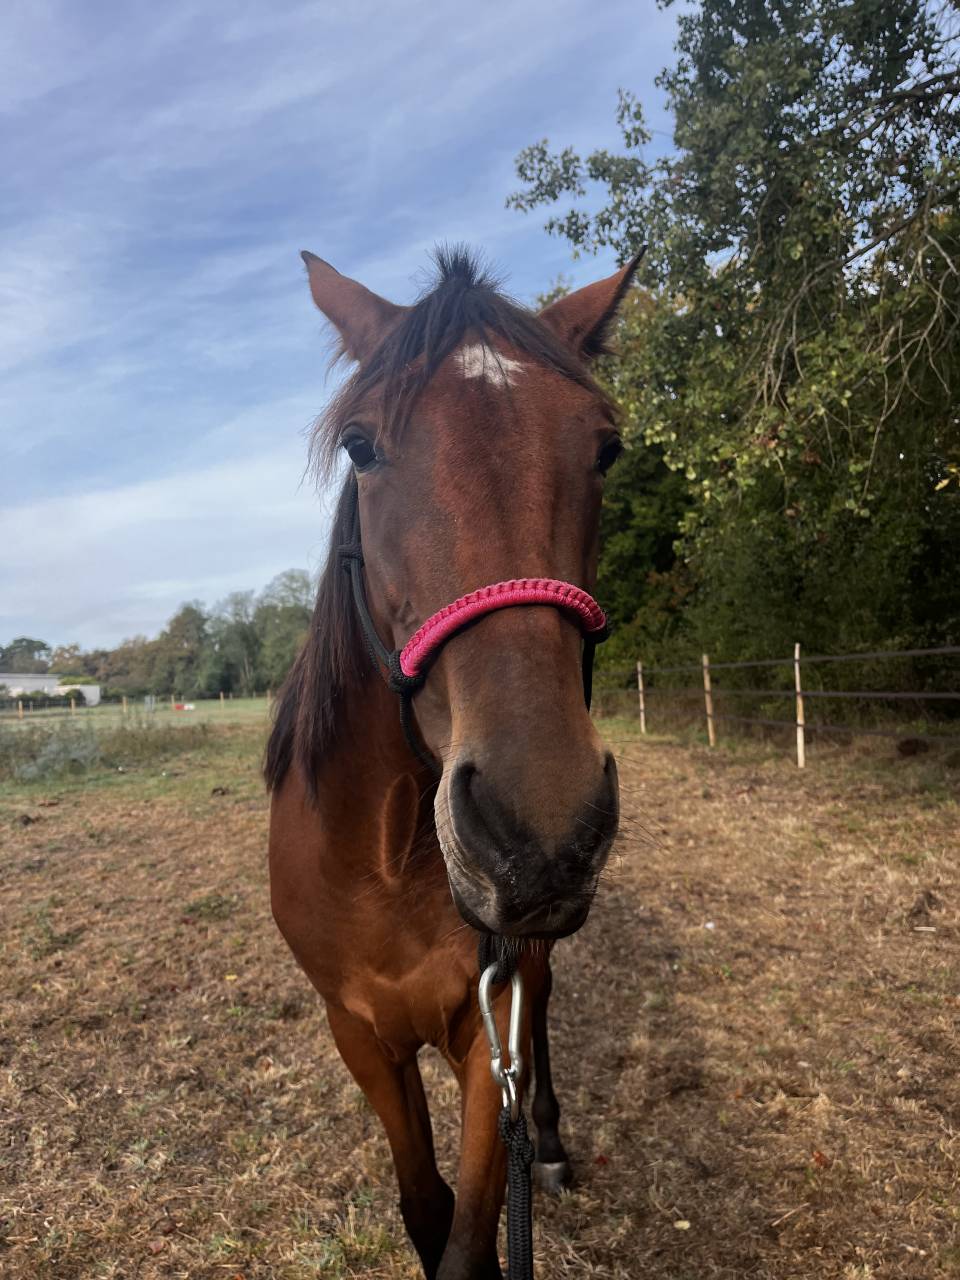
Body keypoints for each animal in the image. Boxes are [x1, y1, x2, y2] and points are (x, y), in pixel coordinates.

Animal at [265, 245, 641, 1279]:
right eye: (360, 446)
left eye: (606, 449)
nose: (539, 826)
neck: (387, 855)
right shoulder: (359, 1035)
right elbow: (423, 1206)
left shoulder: (487, 1026)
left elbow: (472, 1239)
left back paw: (547, 1141)